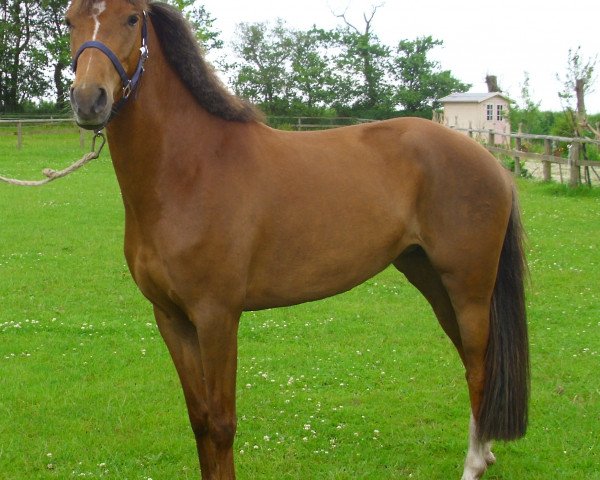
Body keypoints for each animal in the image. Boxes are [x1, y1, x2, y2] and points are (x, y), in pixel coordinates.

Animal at [65, 1, 528, 478]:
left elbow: (221, 423)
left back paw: (473, 464)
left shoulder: (217, 317)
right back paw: (485, 451)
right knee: (475, 362)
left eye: (132, 19)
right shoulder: (171, 318)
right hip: (432, 278)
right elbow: (199, 420)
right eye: (68, 21)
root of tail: (492, 163)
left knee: (479, 368)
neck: (188, 170)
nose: (89, 99)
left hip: (468, 288)